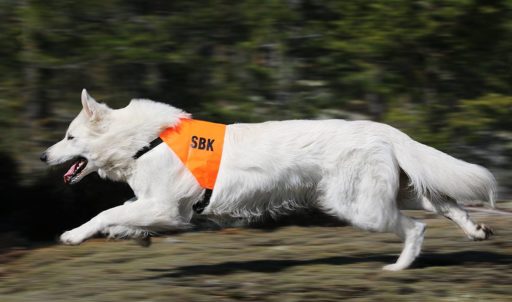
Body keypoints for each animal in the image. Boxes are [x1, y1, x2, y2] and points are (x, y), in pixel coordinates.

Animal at [42, 89, 498, 272]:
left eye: (69, 137)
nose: (43, 156)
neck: (143, 141)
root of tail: (381, 129)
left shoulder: (167, 208)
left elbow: (105, 213)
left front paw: (73, 235)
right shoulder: (158, 208)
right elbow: (120, 216)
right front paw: (129, 235)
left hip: (359, 206)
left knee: (417, 227)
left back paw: (400, 267)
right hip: (395, 191)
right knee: (445, 203)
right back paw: (476, 231)